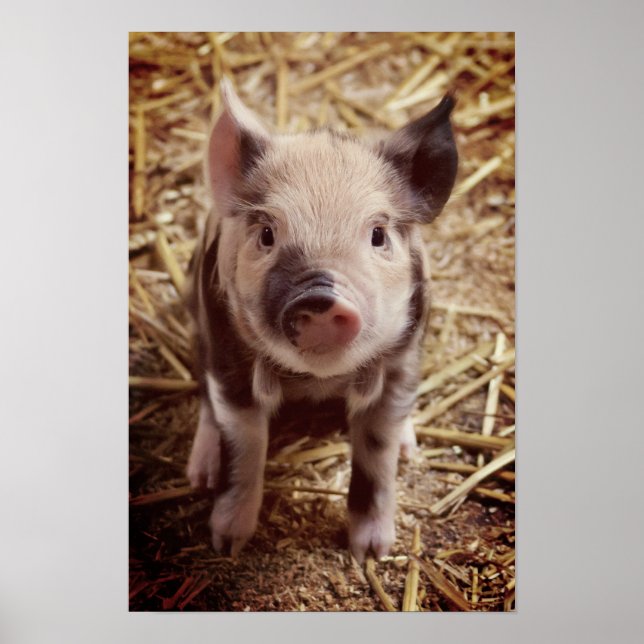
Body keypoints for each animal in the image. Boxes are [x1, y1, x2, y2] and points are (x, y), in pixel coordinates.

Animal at [185, 79, 457, 562]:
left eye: (378, 235)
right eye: (267, 234)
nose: (320, 297)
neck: (317, 381)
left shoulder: (403, 359)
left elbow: (377, 451)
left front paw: (372, 553)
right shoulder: (227, 354)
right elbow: (245, 446)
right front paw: (227, 544)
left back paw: (411, 450)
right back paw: (199, 476)